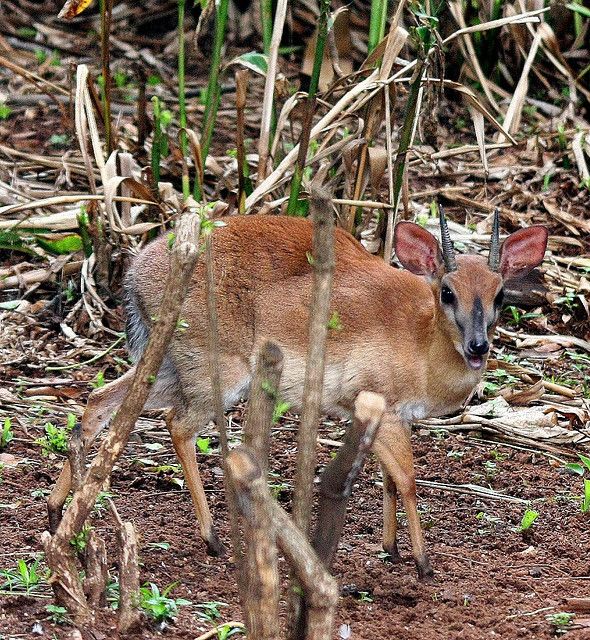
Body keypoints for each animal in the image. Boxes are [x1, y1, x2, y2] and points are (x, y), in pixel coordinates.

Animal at [49, 204, 552, 580]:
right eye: (447, 291)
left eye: (500, 294)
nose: (478, 346)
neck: (423, 339)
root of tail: (137, 274)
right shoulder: (385, 410)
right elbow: (408, 481)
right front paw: (424, 564)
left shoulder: (388, 418)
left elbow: (389, 481)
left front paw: (391, 549)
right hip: (218, 377)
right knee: (178, 426)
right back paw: (213, 539)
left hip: (167, 371)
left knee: (98, 403)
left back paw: (58, 515)